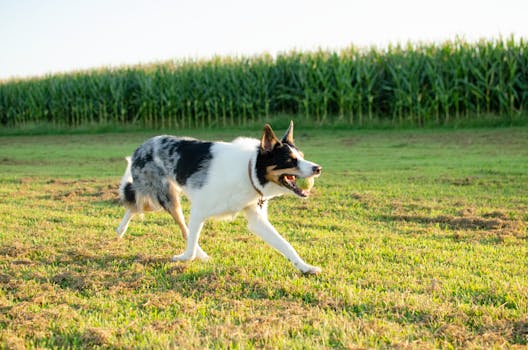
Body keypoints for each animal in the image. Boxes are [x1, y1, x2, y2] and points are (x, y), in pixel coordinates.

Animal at [116, 121, 322, 274]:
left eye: (302, 156)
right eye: (289, 161)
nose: (318, 168)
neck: (249, 169)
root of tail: (141, 147)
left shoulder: (256, 219)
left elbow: (285, 245)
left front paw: (305, 267)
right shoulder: (198, 210)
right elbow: (190, 239)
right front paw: (186, 258)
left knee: (135, 205)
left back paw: (121, 230)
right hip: (165, 196)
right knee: (147, 208)